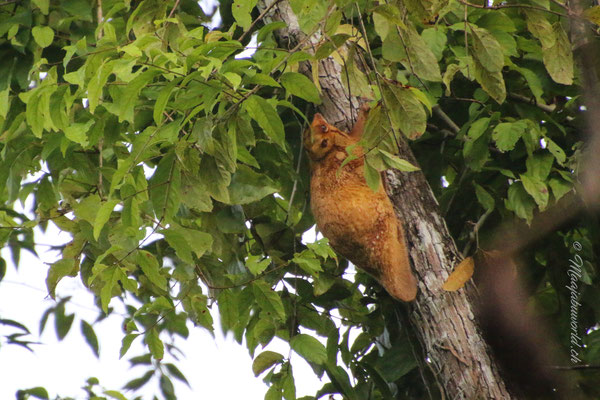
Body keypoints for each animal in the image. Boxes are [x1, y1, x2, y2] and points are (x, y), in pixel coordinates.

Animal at [304, 104, 418, 302]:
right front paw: (366, 109)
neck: (325, 154)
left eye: (319, 125)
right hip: (383, 229)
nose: (317, 115)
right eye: (324, 128)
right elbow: (362, 139)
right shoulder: (351, 146)